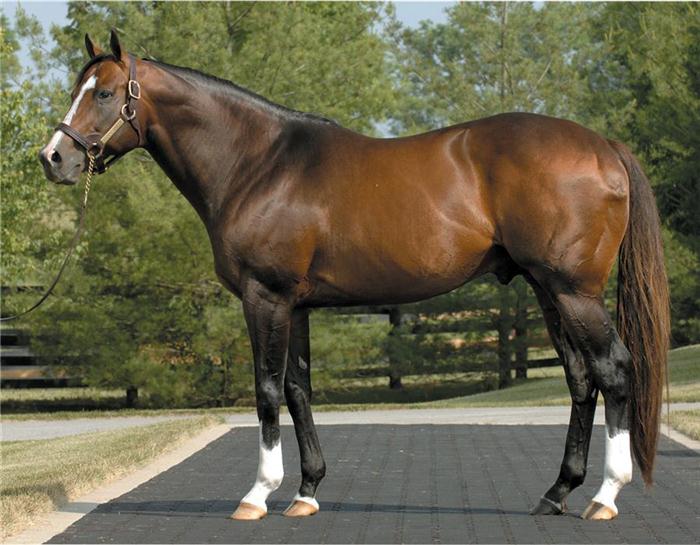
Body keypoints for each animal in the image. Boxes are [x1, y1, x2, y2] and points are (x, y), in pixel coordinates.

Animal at [39, 30, 669, 522]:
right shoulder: (295, 305)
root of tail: (603, 145)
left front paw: (258, 494)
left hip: (573, 291)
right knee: (581, 379)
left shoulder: (264, 297)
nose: (53, 159)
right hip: (548, 291)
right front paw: (306, 491)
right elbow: (298, 390)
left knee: (614, 370)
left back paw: (605, 497)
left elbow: (267, 390)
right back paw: (556, 492)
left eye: (102, 93)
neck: (258, 165)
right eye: (77, 91)